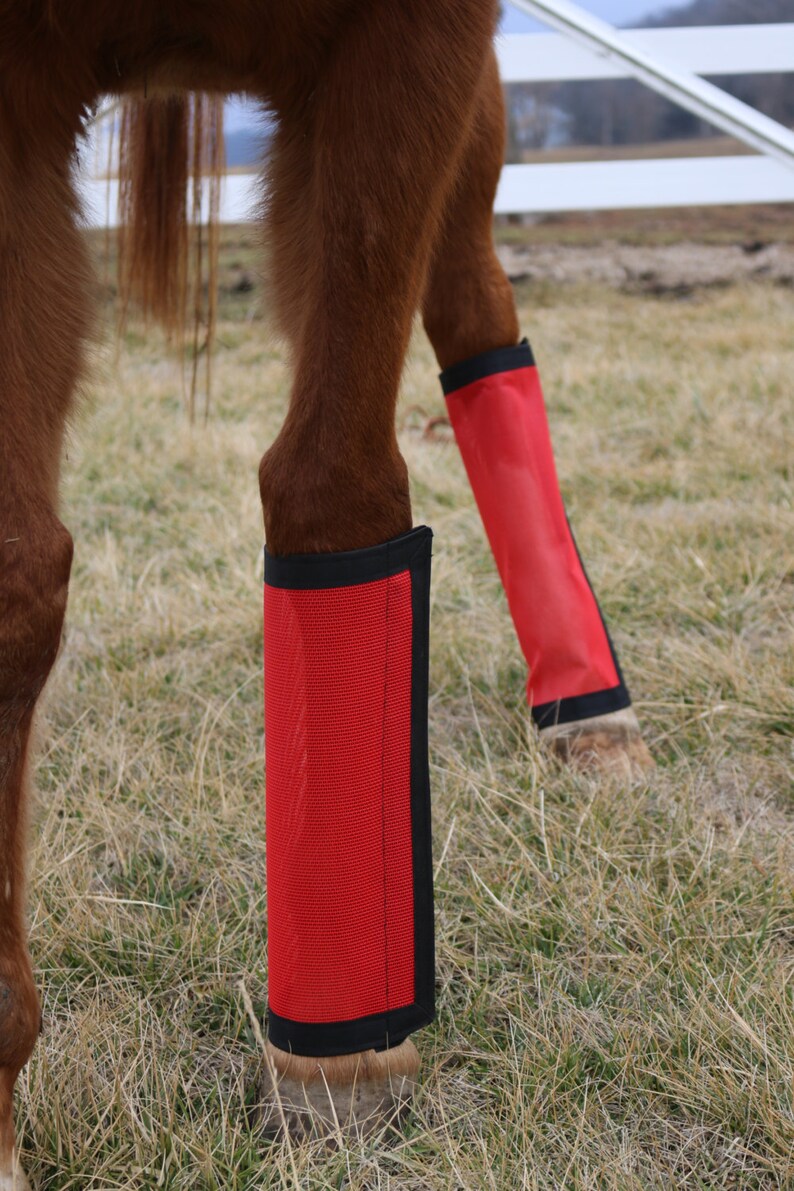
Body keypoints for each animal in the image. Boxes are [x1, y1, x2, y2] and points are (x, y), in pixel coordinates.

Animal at [0, 0, 652, 1176]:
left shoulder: (413, 52)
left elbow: (334, 492)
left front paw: (340, 1054)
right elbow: (17, 573)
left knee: (475, 312)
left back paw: (588, 705)